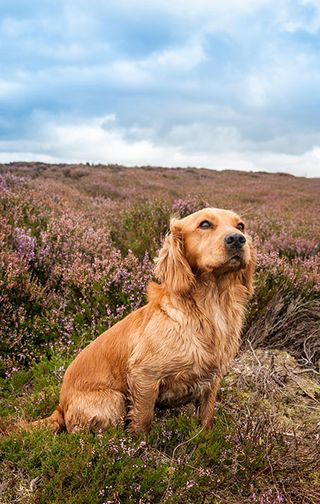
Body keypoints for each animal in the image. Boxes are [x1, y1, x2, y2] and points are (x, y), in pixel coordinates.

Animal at [33, 207, 255, 436]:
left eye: (240, 226)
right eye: (204, 224)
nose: (237, 239)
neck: (210, 307)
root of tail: (61, 406)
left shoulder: (212, 382)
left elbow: (206, 419)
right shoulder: (144, 375)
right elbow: (143, 421)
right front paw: (139, 444)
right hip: (114, 401)